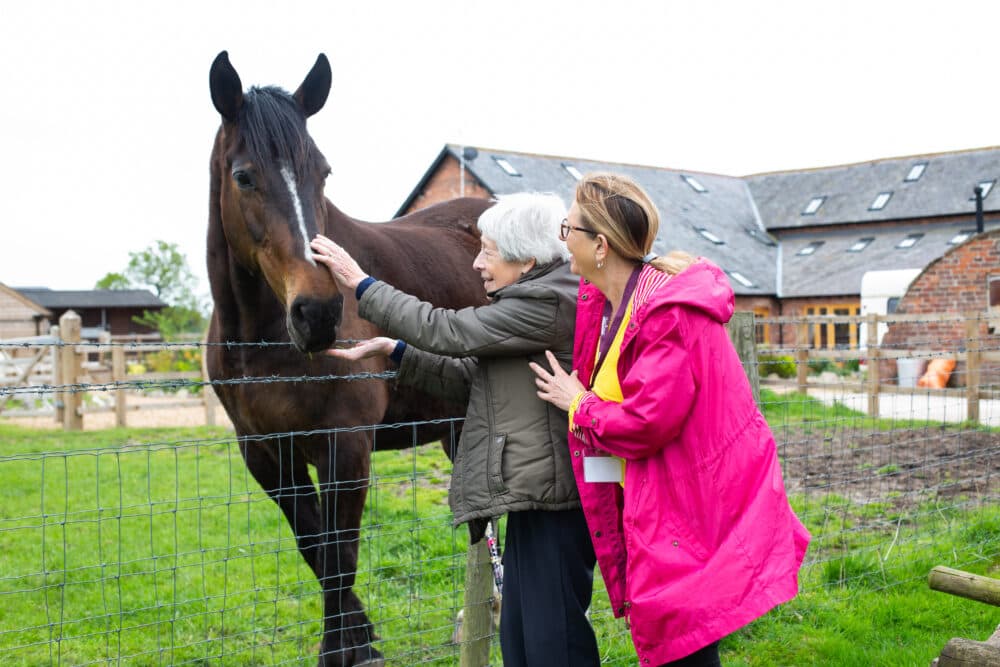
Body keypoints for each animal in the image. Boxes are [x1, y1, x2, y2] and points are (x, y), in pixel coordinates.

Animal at [205, 51, 490, 667]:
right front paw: (360, 643)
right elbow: (315, 551)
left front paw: (346, 652)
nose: (318, 312)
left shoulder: (347, 446)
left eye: (324, 173)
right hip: (459, 425)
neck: (261, 343)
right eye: (244, 176)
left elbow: (340, 559)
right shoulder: (268, 456)